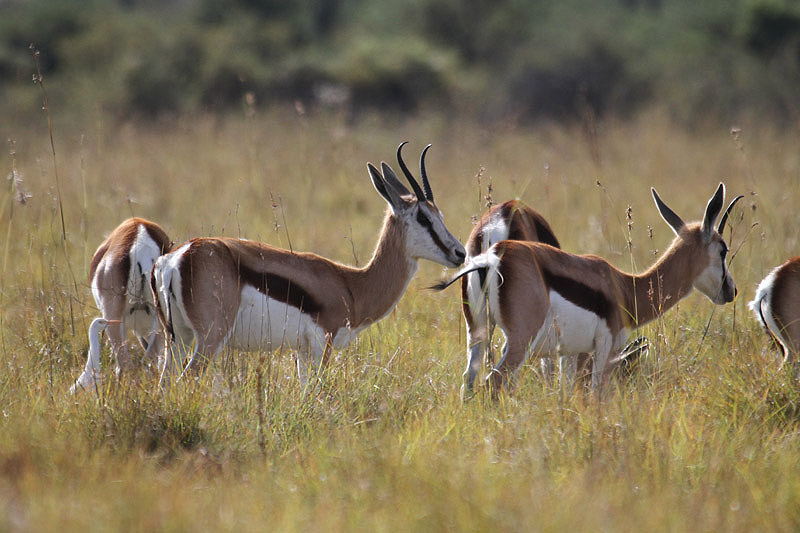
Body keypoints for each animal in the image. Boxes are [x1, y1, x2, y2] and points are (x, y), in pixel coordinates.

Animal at [151, 143, 466, 384]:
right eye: (423, 217)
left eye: (439, 214)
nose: (459, 252)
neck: (352, 284)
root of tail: (178, 256)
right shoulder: (320, 344)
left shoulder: (301, 351)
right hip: (209, 339)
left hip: (177, 338)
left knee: (165, 381)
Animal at [434, 183, 740, 394]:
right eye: (723, 250)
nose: (732, 291)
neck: (625, 287)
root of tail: (494, 255)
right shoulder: (603, 349)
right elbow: (595, 394)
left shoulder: (572, 352)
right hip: (520, 341)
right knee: (494, 381)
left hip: (479, 331)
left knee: (469, 379)